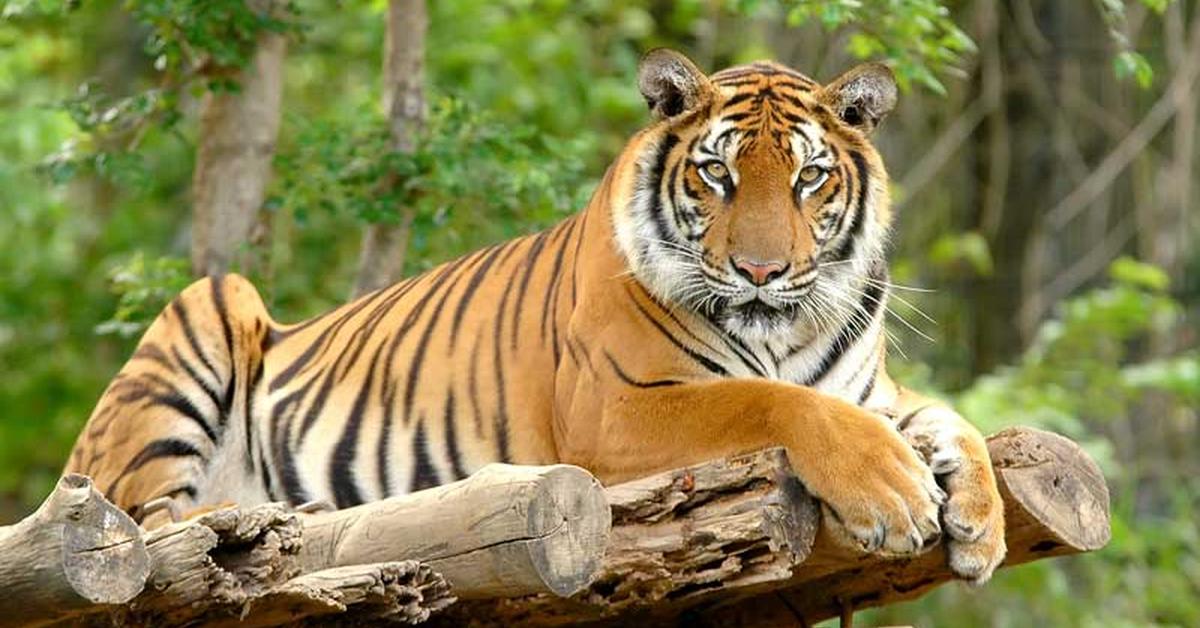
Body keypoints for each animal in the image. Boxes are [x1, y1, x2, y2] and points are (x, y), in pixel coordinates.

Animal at [63, 49, 1003, 585]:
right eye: (718, 175)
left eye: (809, 178)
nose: (762, 271)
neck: (784, 331)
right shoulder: (615, 410)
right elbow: (769, 400)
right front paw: (894, 495)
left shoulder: (871, 391)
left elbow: (955, 421)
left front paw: (982, 522)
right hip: (207, 314)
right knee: (148, 520)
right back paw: (272, 517)